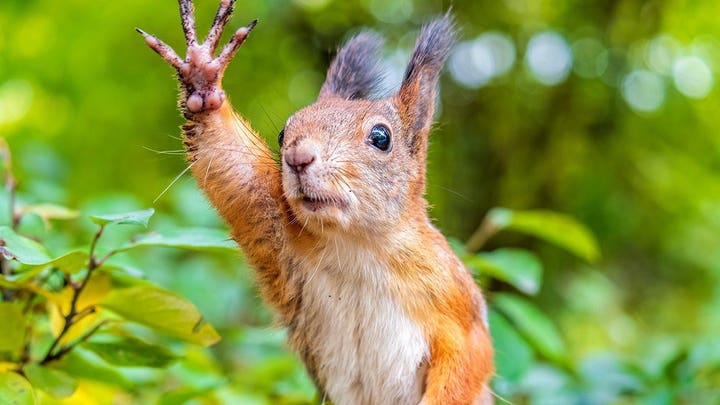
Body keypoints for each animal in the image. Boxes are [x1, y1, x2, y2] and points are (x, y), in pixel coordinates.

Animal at [137, 0, 494, 403]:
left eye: (381, 137)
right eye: (283, 133)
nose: (298, 158)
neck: (357, 244)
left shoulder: (455, 296)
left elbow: (469, 358)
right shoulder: (277, 231)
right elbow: (239, 176)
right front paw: (201, 75)